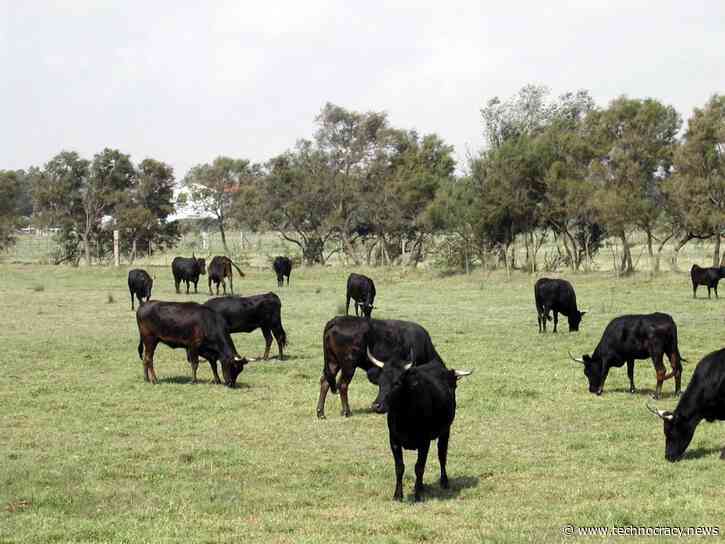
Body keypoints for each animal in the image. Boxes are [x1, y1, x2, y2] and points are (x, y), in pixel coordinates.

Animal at [367, 349, 471, 501]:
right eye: (380, 382)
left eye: (397, 383)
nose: (376, 405)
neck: (404, 418)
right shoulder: (394, 441)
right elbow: (400, 467)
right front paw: (398, 495)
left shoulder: (424, 442)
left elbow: (419, 467)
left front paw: (417, 496)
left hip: (445, 431)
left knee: (442, 455)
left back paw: (444, 482)